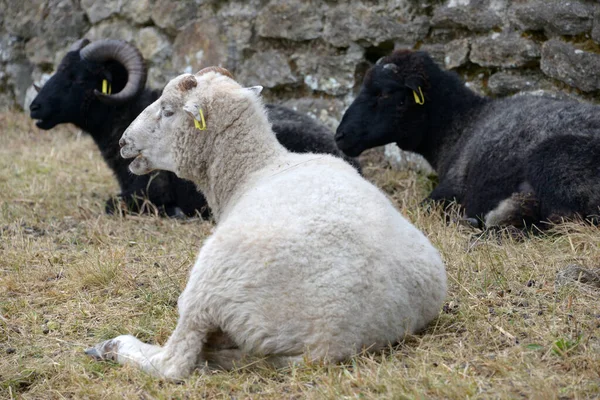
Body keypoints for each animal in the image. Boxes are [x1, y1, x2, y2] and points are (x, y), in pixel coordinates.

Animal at [86, 67, 448, 380]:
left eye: (168, 110)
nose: (123, 142)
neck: (255, 167)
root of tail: (326, 345)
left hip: (210, 284)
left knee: (173, 362)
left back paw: (111, 346)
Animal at [338, 49, 600, 228]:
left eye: (384, 94)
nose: (340, 136)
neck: (463, 124)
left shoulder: (449, 189)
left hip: (550, 162)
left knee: (560, 221)